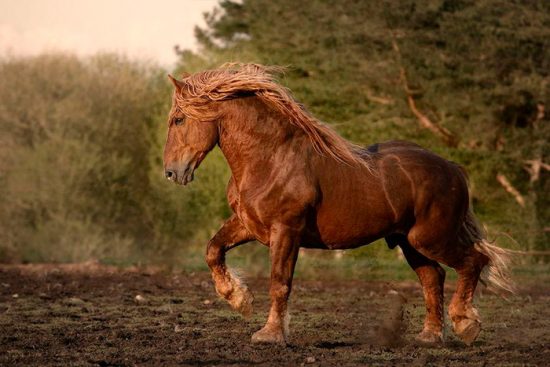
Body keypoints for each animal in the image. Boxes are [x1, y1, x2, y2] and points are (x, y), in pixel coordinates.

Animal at [162, 64, 516, 348]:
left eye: (178, 119)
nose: (172, 172)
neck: (270, 159)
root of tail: (452, 169)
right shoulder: (248, 224)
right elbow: (213, 250)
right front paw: (239, 299)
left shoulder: (286, 231)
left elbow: (279, 282)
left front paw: (269, 335)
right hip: (410, 242)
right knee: (433, 277)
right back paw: (430, 336)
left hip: (431, 238)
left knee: (473, 261)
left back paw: (465, 324)